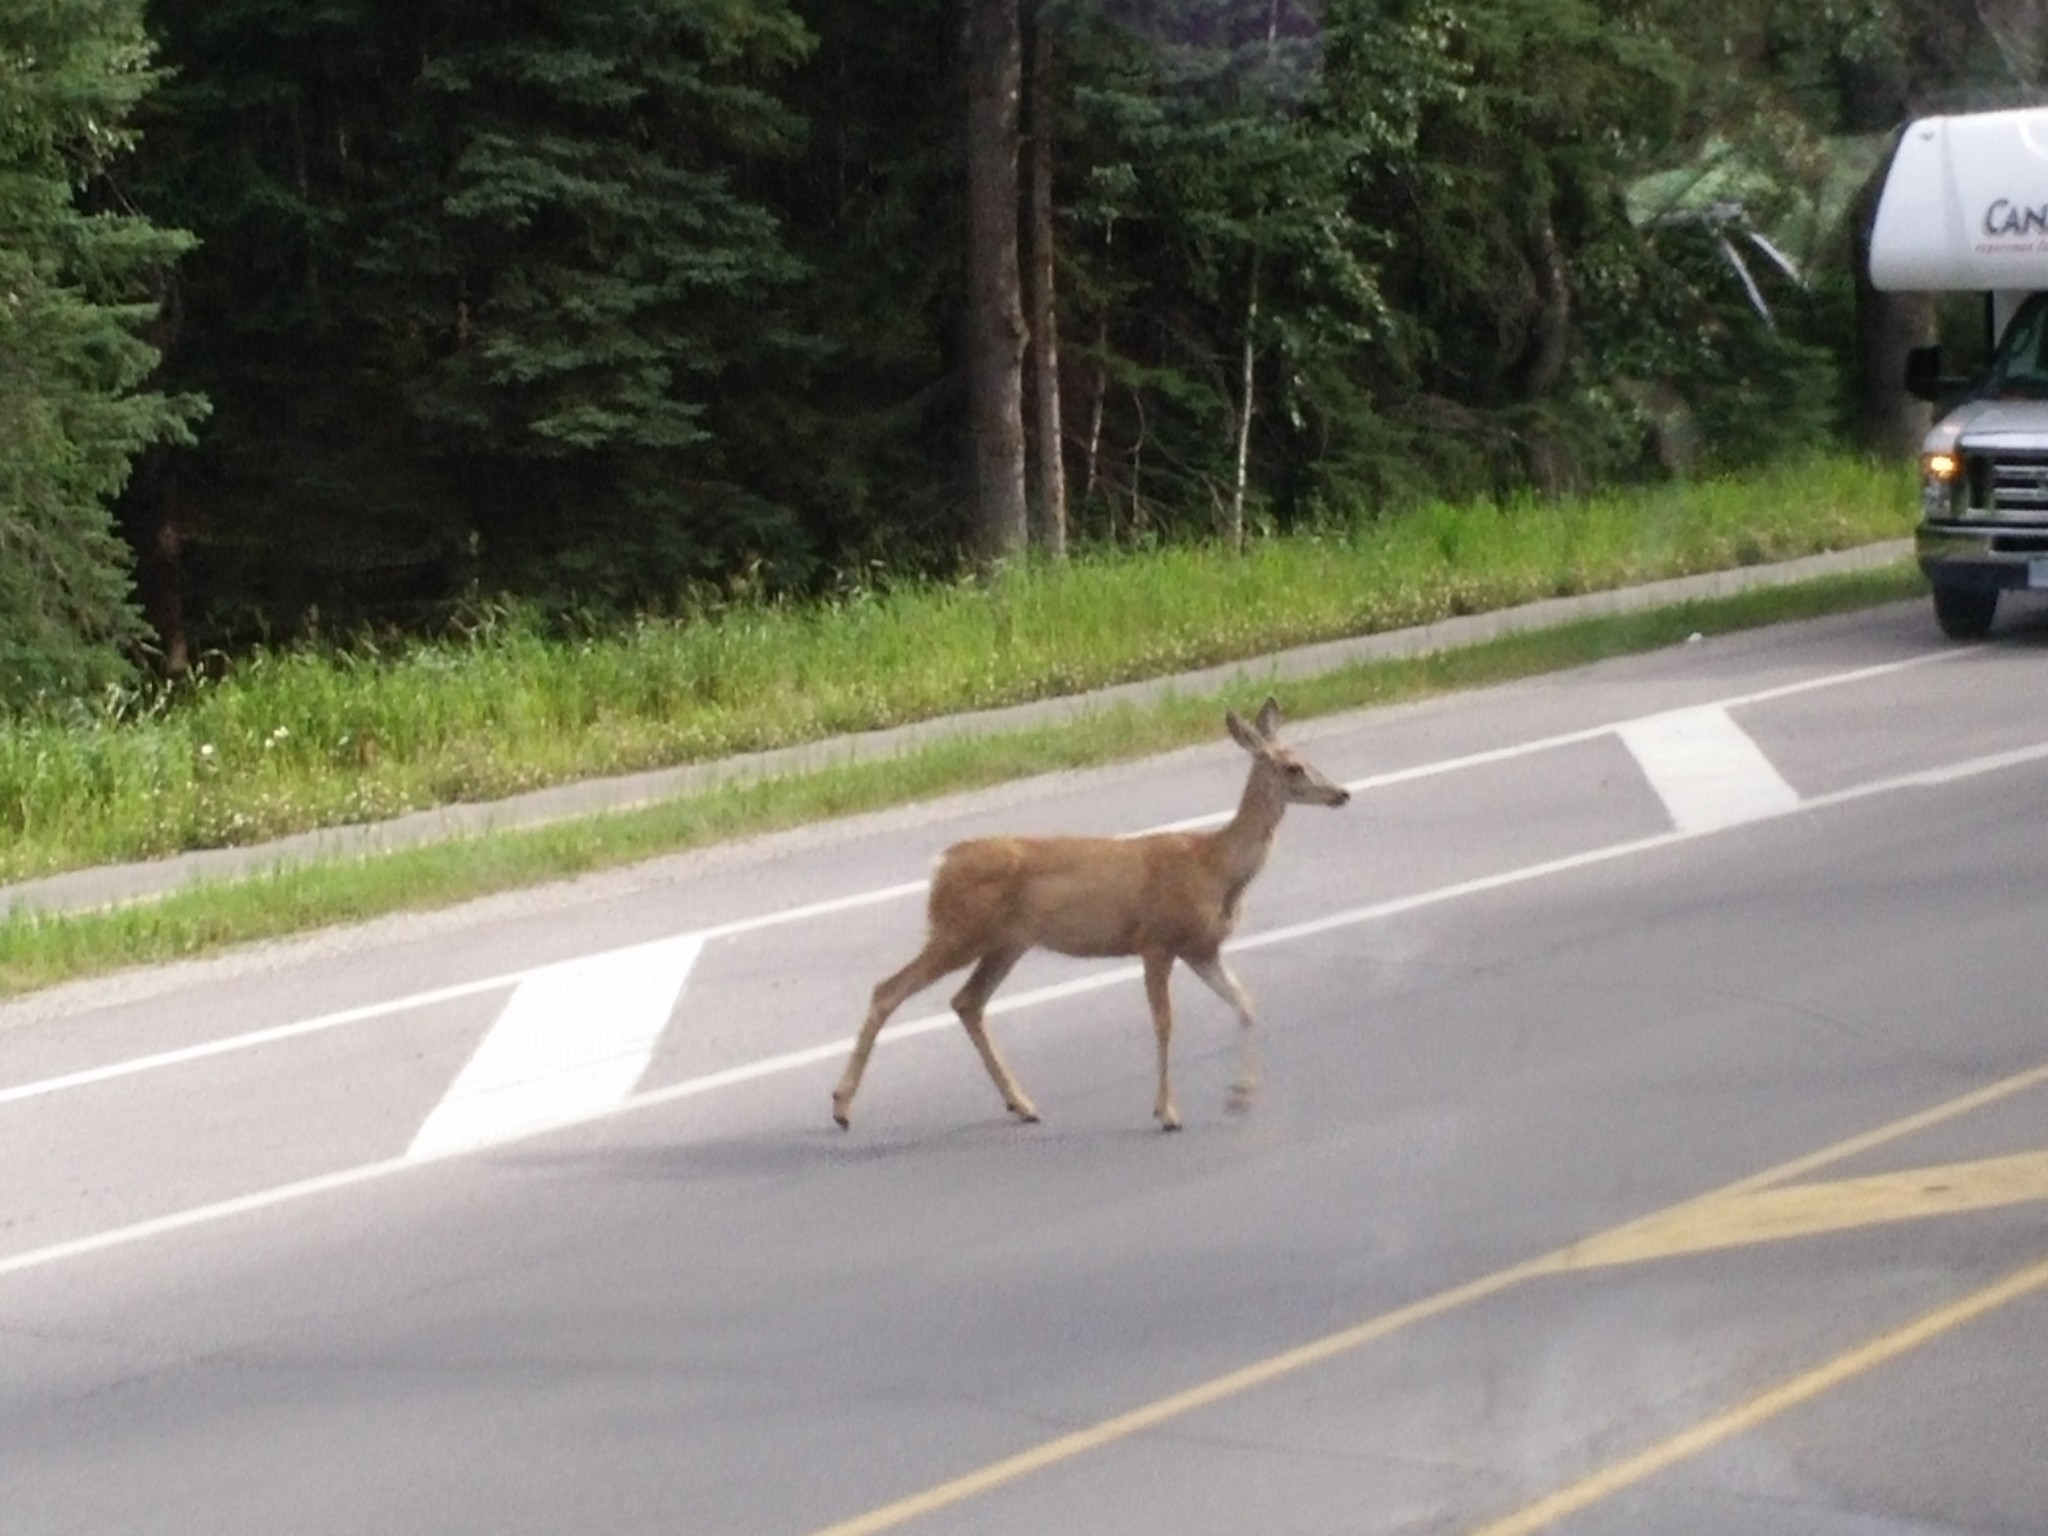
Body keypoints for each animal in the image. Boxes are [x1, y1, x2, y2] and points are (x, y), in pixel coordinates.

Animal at [823, 704, 1351, 1138]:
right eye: (1292, 766)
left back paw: (1022, 1104)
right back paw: (842, 1108)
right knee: (889, 989)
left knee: (967, 1002)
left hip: (1006, 943)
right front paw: (1168, 1112)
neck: (1215, 866)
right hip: (959, 931)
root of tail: (941, 865)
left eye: (1306, 756)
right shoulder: (1156, 940)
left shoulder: (1201, 949)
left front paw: (1240, 1098)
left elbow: (1245, 1006)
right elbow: (1165, 1023)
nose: (1341, 793)